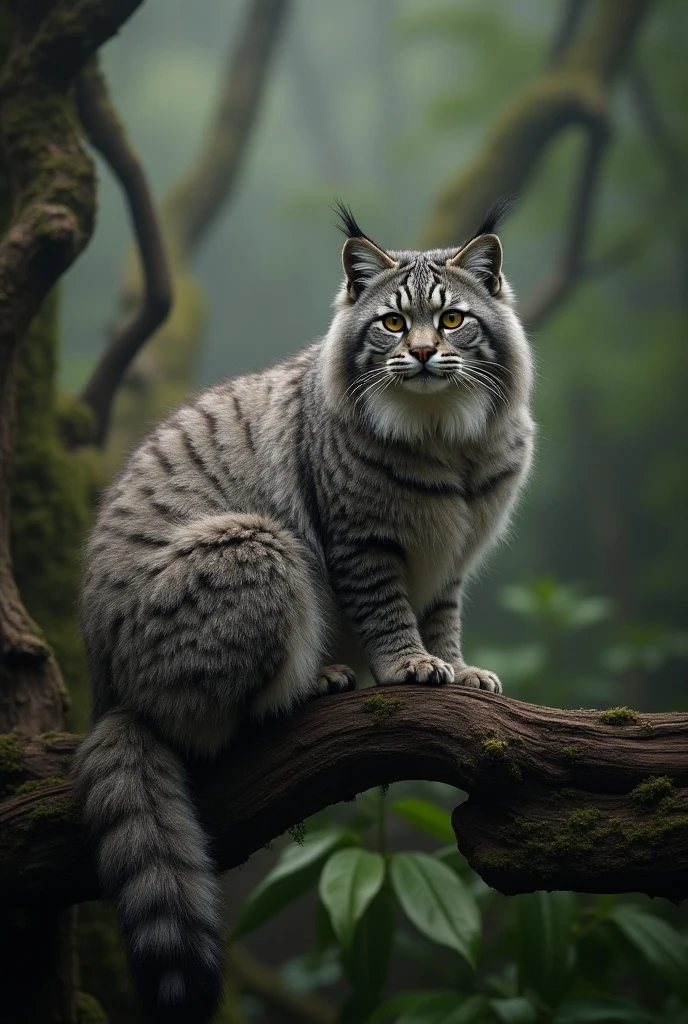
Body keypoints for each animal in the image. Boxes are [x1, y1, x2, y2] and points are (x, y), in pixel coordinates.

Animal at [73, 201, 536, 1024]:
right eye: (391, 323)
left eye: (452, 319)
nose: (422, 355)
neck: (443, 430)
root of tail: (108, 696)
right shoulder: (360, 542)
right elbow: (387, 612)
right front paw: (411, 666)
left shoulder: (450, 564)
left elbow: (443, 617)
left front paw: (456, 668)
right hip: (259, 543)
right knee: (206, 725)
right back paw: (313, 683)